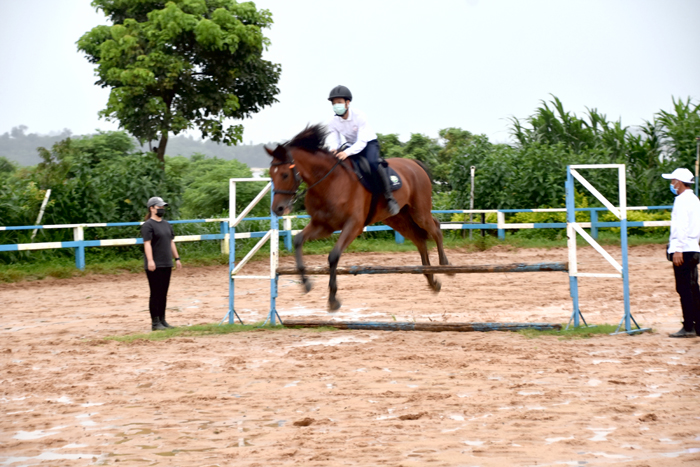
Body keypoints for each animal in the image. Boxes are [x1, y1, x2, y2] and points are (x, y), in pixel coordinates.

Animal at [266, 126, 452, 312]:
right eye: (271, 175)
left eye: (284, 175)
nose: (277, 209)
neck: (328, 183)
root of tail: (414, 163)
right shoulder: (323, 226)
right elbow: (298, 240)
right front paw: (306, 283)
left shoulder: (354, 226)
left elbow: (333, 256)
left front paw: (333, 299)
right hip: (398, 218)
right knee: (419, 239)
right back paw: (432, 281)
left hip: (419, 212)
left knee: (435, 228)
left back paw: (446, 266)